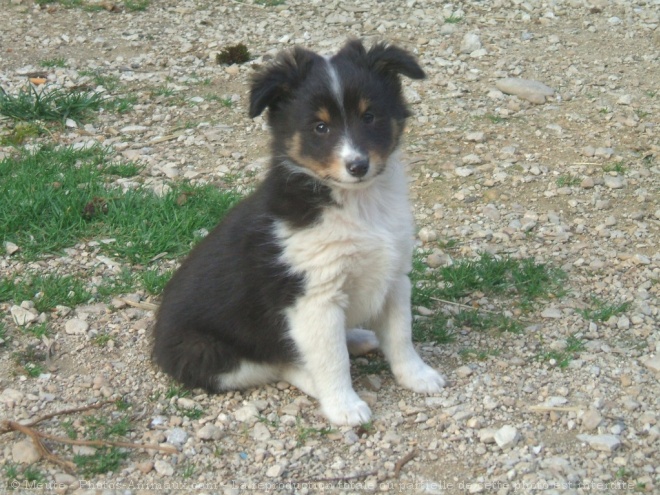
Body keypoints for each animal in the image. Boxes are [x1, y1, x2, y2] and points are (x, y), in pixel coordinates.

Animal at [152, 38, 446, 426]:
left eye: (369, 116)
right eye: (320, 127)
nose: (358, 165)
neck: (358, 204)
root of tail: (156, 340)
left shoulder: (395, 275)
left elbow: (401, 335)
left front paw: (417, 375)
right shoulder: (313, 298)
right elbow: (332, 360)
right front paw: (344, 407)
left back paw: (357, 336)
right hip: (210, 353)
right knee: (279, 364)